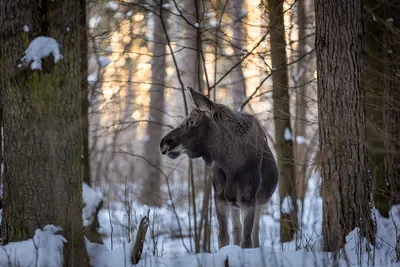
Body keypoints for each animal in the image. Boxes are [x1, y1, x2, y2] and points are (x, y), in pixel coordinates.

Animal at [159, 88, 278, 249]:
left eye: (192, 121)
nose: (164, 143)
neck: (231, 163)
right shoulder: (220, 197)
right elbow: (223, 237)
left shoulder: (248, 199)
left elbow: (246, 241)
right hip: (234, 204)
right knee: (236, 230)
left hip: (259, 202)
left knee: (254, 233)